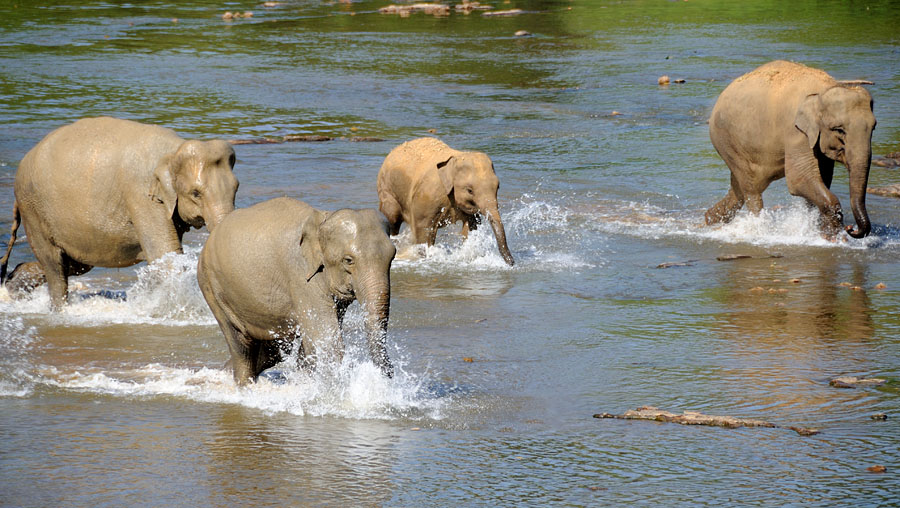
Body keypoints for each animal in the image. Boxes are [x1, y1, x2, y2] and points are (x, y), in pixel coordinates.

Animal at [0, 116, 239, 308]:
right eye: (196, 193)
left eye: (236, 188)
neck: (174, 150)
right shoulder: (142, 198)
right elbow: (165, 257)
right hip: (33, 209)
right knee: (55, 265)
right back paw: (58, 310)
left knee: (74, 264)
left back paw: (14, 285)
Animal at [199, 197, 396, 384]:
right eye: (348, 260)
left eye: (393, 256)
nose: (390, 372)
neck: (323, 219)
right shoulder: (301, 276)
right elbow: (326, 339)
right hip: (213, 287)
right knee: (242, 347)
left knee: (272, 351)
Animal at [374, 137, 512, 268]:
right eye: (470, 190)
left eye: (498, 187)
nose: (512, 263)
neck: (456, 158)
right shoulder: (427, 195)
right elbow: (424, 229)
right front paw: (424, 257)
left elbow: (471, 226)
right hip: (387, 189)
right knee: (392, 219)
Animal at [708, 60, 876, 239]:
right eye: (839, 130)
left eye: (874, 127)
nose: (851, 229)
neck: (824, 89)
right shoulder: (795, 131)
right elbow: (799, 179)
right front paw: (833, 239)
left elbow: (822, 177)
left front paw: (819, 233)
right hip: (726, 140)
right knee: (751, 188)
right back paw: (759, 230)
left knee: (740, 188)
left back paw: (710, 220)